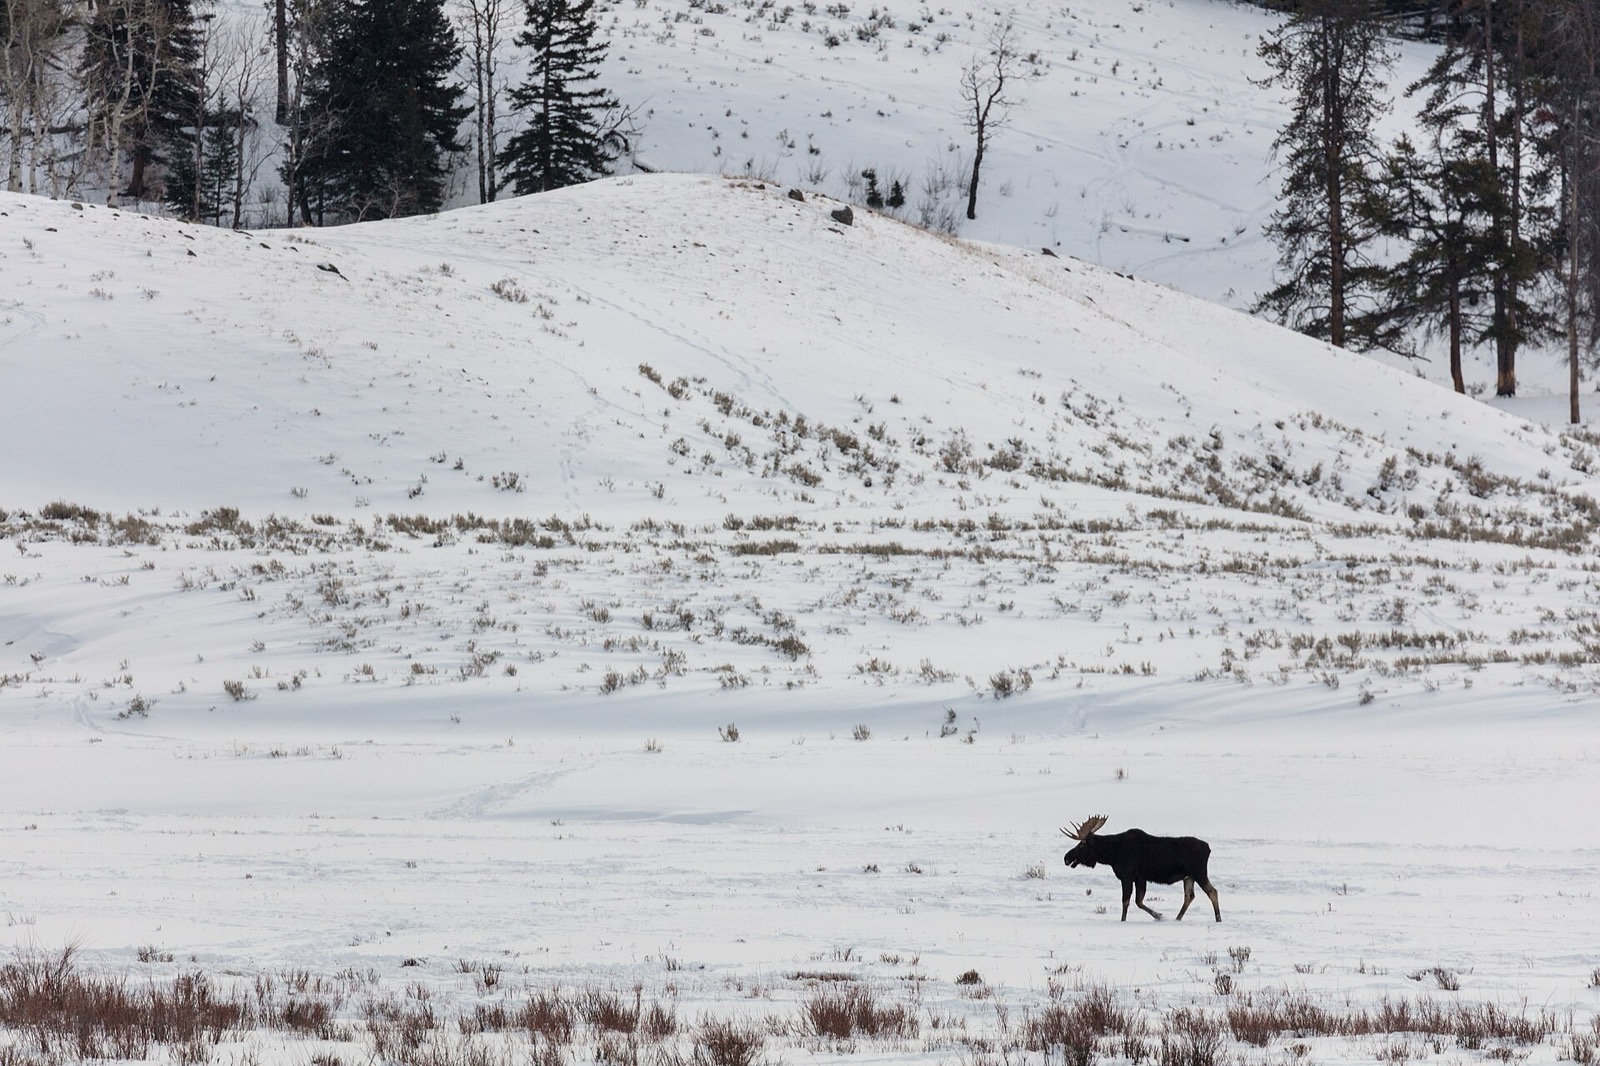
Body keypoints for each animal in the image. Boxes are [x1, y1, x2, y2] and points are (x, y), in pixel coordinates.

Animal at [1061, 815, 1221, 922]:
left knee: (1212, 891)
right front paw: (1159, 915)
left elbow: (1126, 901)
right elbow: (1139, 901)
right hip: (1189, 876)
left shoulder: (1127, 876)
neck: (1112, 855)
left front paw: (1124, 920)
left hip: (1199, 873)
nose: (1066, 857)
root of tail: (1208, 848)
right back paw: (1177, 918)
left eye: (1082, 844)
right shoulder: (1140, 878)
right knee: (1189, 896)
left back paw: (1218, 919)